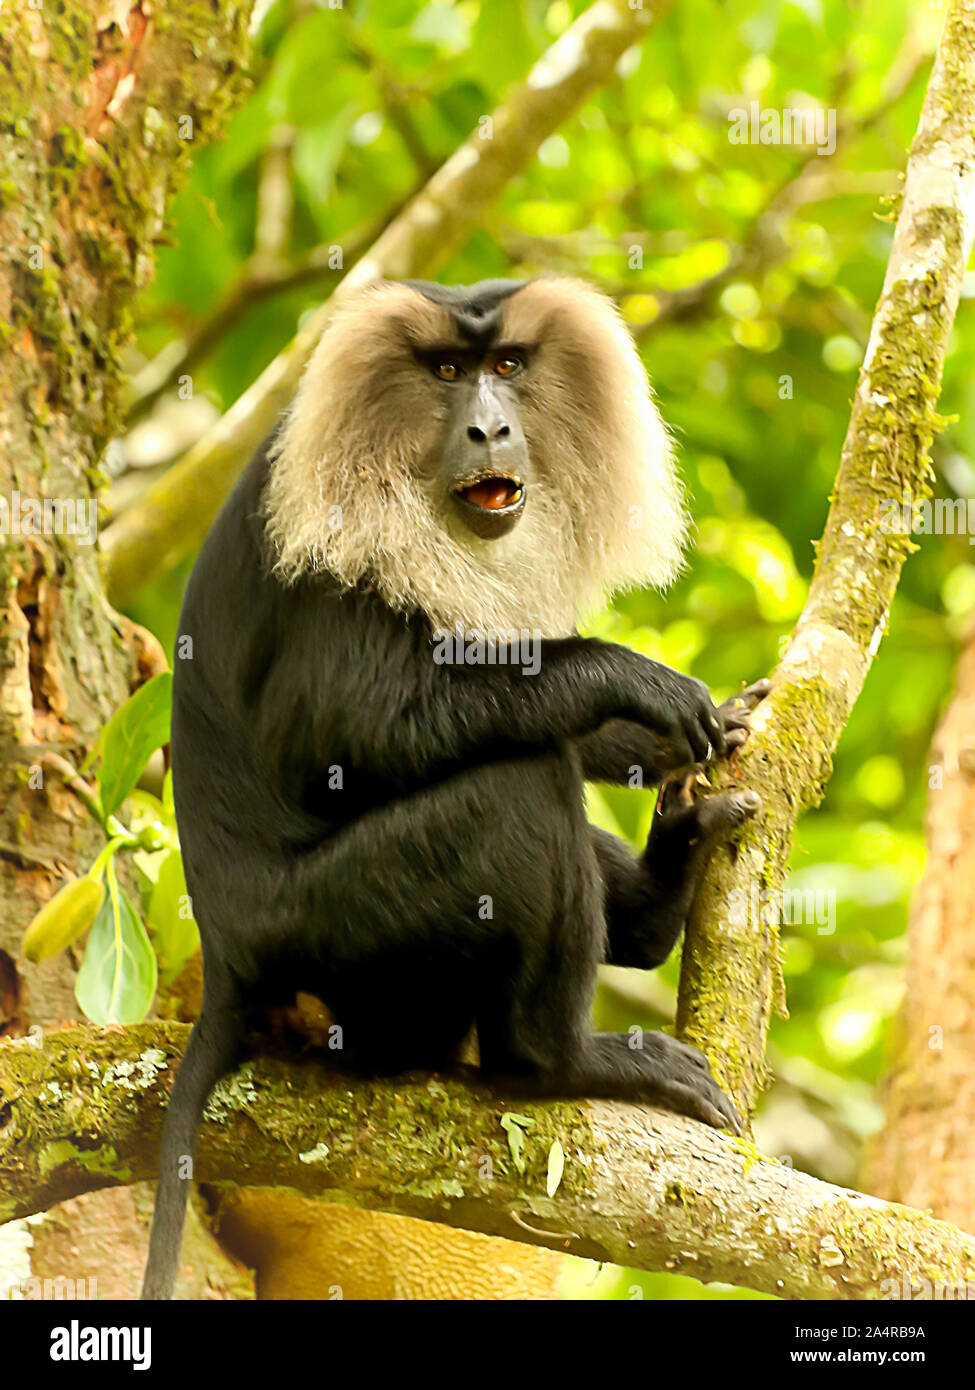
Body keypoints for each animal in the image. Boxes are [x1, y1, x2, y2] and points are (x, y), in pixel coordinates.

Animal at [140, 276, 767, 1295]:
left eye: (505, 365)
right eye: (444, 373)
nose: (487, 427)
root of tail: (232, 963)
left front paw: (689, 726)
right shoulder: (327, 544)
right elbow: (341, 732)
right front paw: (632, 681)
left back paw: (657, 894)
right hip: (344, 937)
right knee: (518, 784)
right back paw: (558, 1063)